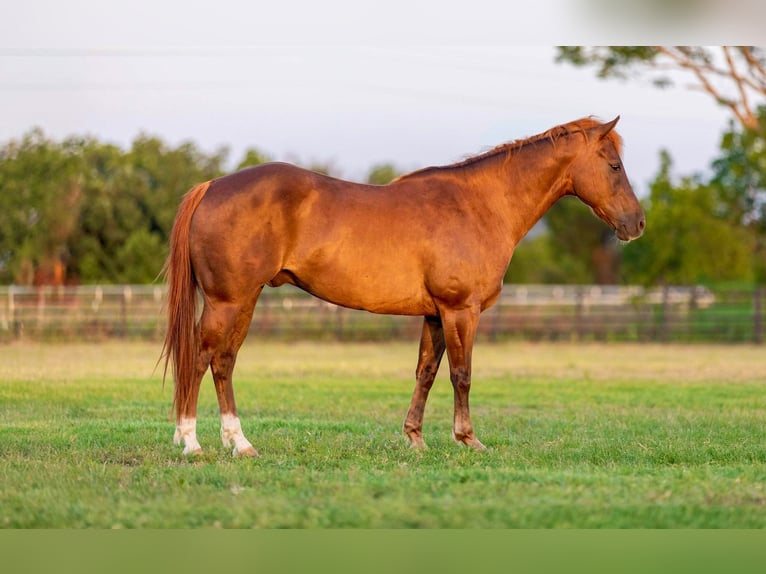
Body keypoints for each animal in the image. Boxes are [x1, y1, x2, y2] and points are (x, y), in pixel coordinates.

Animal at [162, 116, 645, 457]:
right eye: (614, 165)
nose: (636, 224)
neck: (480, 205)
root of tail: (211, 187)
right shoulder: (460, 310)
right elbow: (462, 374)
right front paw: (468, 439)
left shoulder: (434, 313)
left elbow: (426, 373)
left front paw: (414, 438)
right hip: (228, 301)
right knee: (202, 357)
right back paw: (191, 442)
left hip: (244, 301)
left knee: (224, 362)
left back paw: (239, 443)